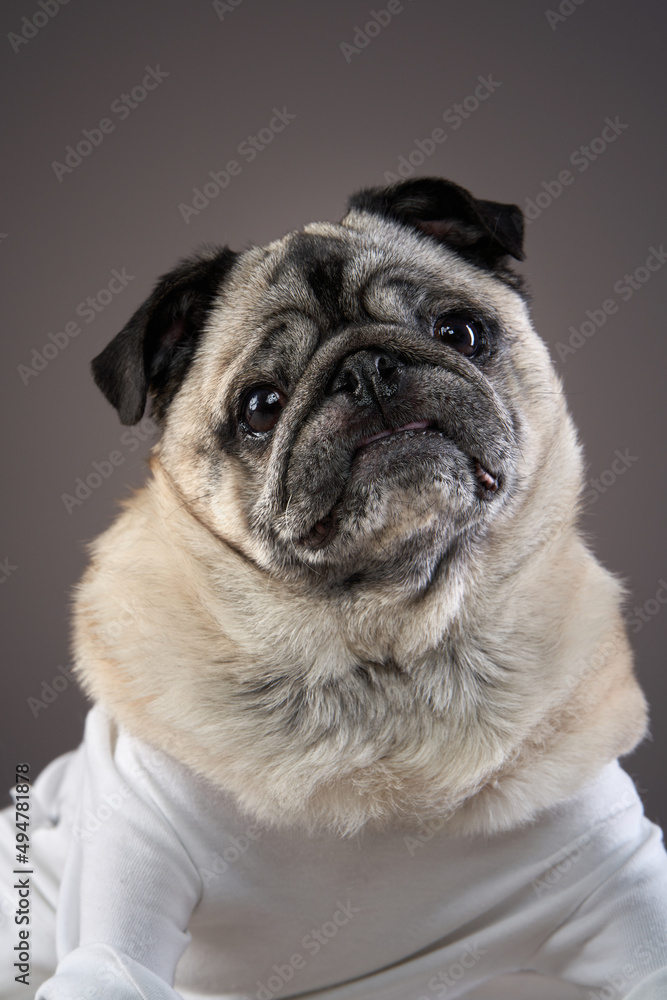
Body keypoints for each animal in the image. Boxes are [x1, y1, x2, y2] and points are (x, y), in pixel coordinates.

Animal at [5, 180, 667, 1000]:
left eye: (459, 331)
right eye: (261, 406)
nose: (369, 368)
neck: (396, 651)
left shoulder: (616, 874)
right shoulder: (130, 871)